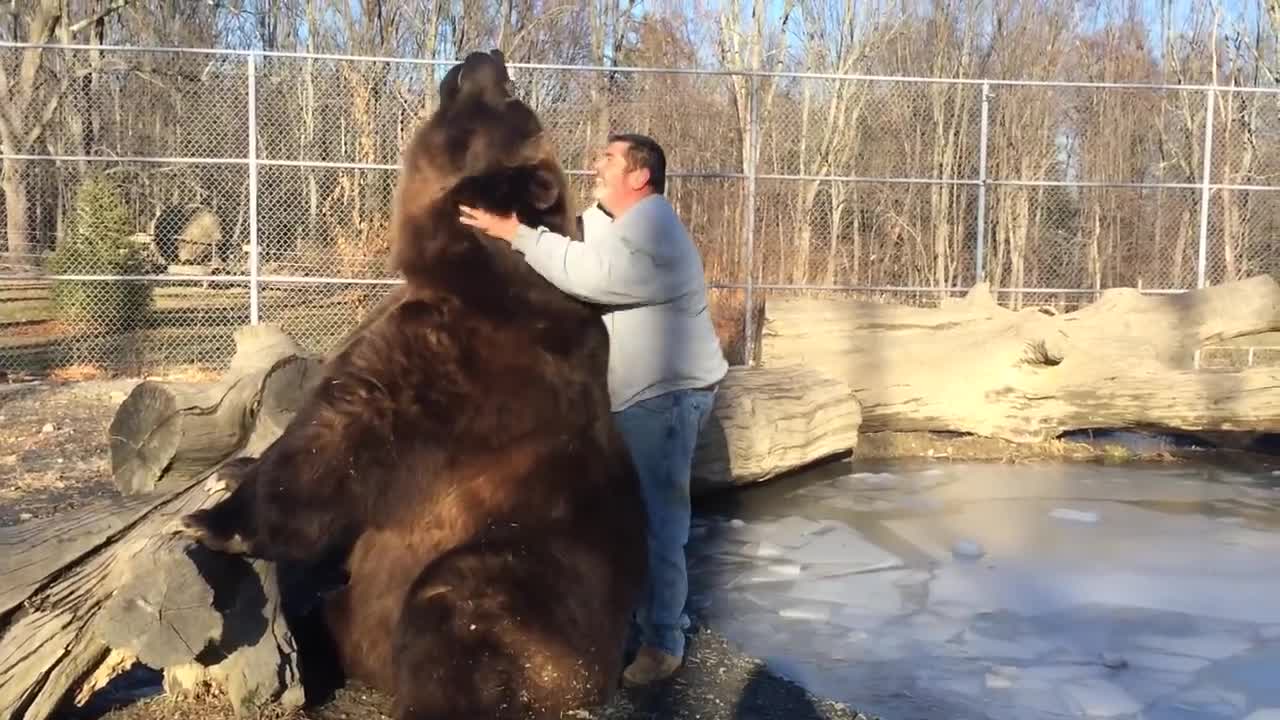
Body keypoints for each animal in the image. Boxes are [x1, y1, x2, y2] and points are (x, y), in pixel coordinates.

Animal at [177, 50, 650, 717]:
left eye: (509, 100)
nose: (488, 56)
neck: (462, 268)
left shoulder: (448, 372)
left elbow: (330, 444)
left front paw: (212, 522)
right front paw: (233, 469)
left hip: (515, 583)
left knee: (456, 611)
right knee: (335, 610)